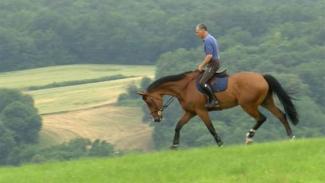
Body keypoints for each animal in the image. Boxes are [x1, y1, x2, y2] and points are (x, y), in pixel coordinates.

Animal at [135, 69, 298, 148]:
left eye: (149, 102)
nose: (156, 119)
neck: (184, 88)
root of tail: (261, 76)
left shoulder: (201, 111)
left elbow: (211, 128)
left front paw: (220, 143)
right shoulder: (190, 112)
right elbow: (178, 126)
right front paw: (174, 145)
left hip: (248, 105)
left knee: (262, 118)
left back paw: (249, 137)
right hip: (266, 101)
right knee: (281, 115)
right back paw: (291, 137)